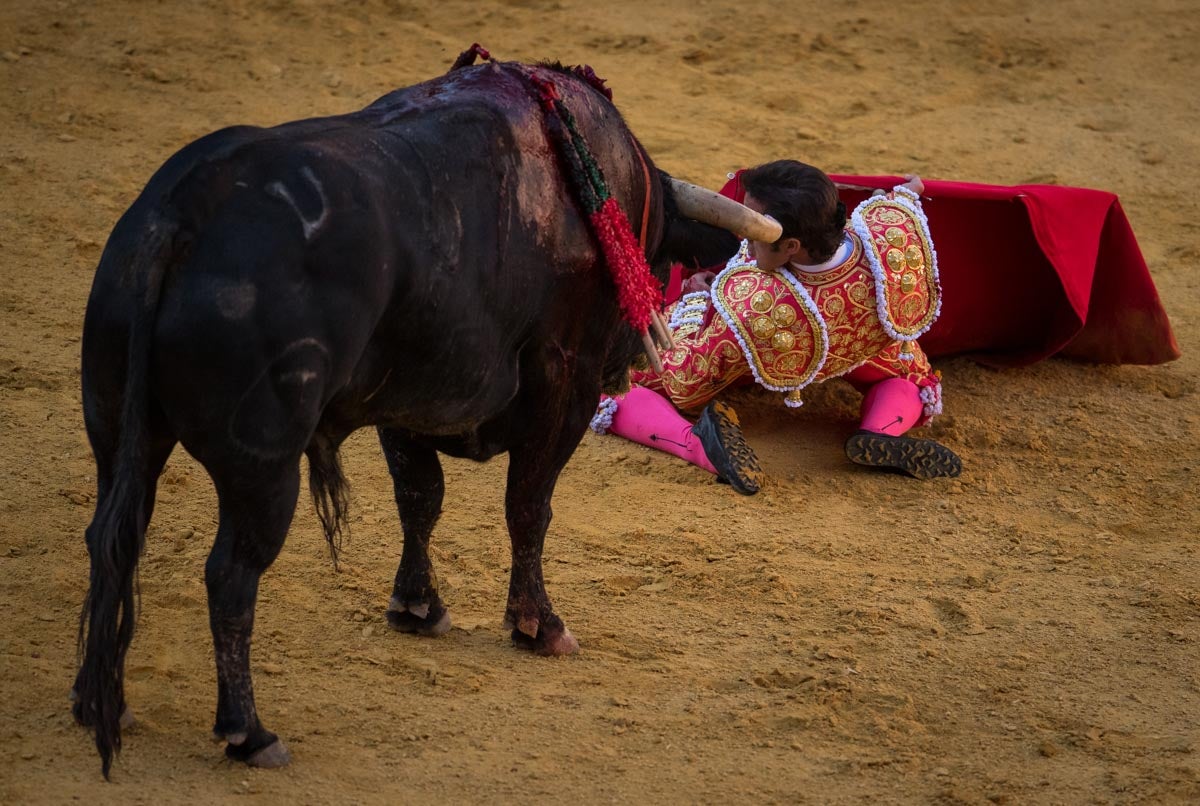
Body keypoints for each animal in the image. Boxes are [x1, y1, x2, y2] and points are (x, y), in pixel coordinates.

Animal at [72, 58, 739, 772]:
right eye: (660, 256)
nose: (635, 358)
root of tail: (180, 215)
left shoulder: (406, 396)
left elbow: (420, 498)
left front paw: (418, 606)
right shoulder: (565, 381)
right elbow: (528, 505)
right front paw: (538, 626)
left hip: (118, 434)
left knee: (111, 539)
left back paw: (97, 702)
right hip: (263, 467)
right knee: (229, 575)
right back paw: (249, 733)